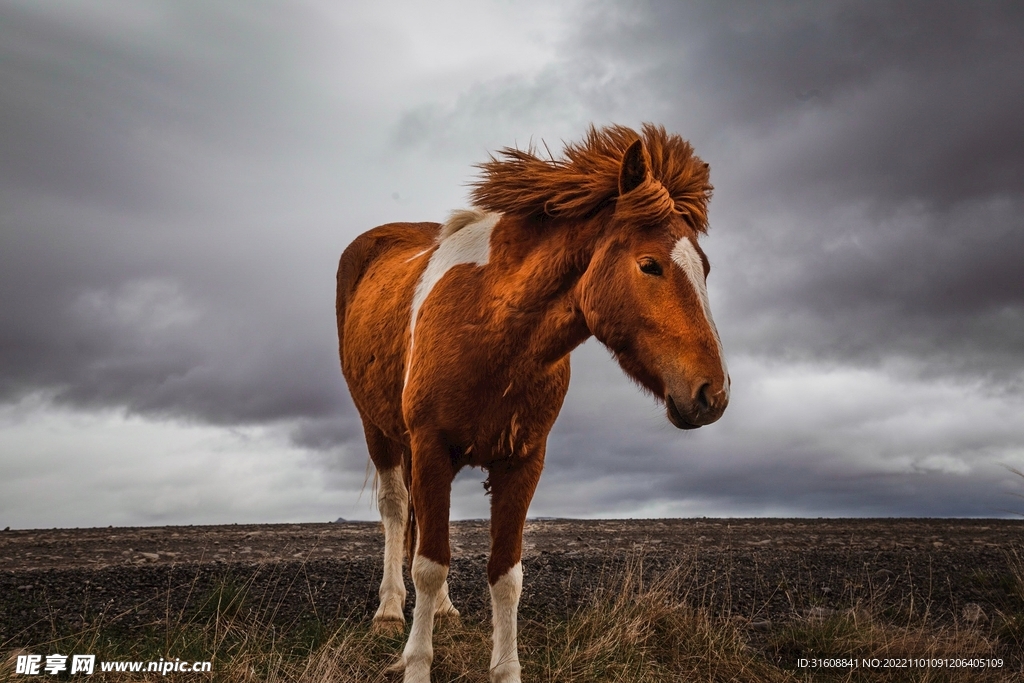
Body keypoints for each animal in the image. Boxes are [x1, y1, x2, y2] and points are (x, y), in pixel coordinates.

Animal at [335, 124, 729, 683]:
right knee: (395, 511)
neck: (492, 326)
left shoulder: (523, 460)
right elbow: (429, 564)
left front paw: (504, 666)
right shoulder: (430, 446)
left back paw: (443, 610)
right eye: (649, 264)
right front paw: (416, 663)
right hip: (381, 430)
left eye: (706, 268)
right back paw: (390, 611)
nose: (712, 393)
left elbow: (505, 574)